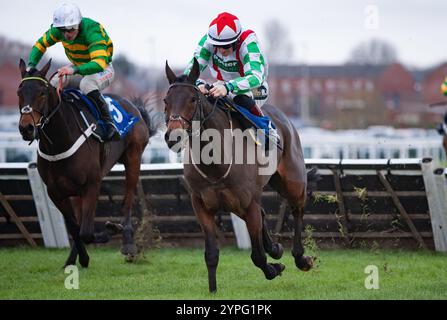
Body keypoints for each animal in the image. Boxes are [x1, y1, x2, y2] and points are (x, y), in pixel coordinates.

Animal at [18, 59, 164, 268]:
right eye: (19, 93)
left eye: (42, 93)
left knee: (127, 201)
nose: (26, 128)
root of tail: (134, 107)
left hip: (133, 158)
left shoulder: (92, 185)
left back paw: (128, 242)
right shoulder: (55, 192)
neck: (59, 141)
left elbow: (85, 232)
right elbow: (75, 227)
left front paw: (112, 229)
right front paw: (79, 259)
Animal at [164, 58, 318, 294]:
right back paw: (275, 248)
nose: (174, 136)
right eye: (165, 100)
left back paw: (300, 258)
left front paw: (274, 268)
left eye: (192, 99)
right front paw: (213, 290)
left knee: (297, 209)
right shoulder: (202, 205)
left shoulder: (247, 204)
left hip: (293, 182)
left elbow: (257, 256)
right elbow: (211, 254)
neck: (216, 162)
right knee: (265, 214)